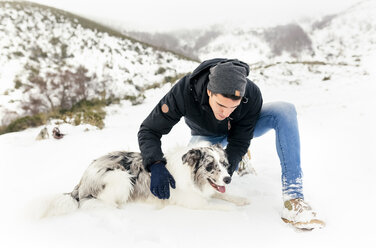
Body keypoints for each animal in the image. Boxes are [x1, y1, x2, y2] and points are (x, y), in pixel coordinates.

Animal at [39, 143, 250, 217]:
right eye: (209, 166)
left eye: (224, 164)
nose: (228, 179)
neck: (193, 179)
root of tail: (83, 179)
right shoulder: (195, 203)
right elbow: (217, 205)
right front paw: (234, 210)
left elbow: (223, 195)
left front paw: (241, 199)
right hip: (121, 177)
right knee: (101, 203)